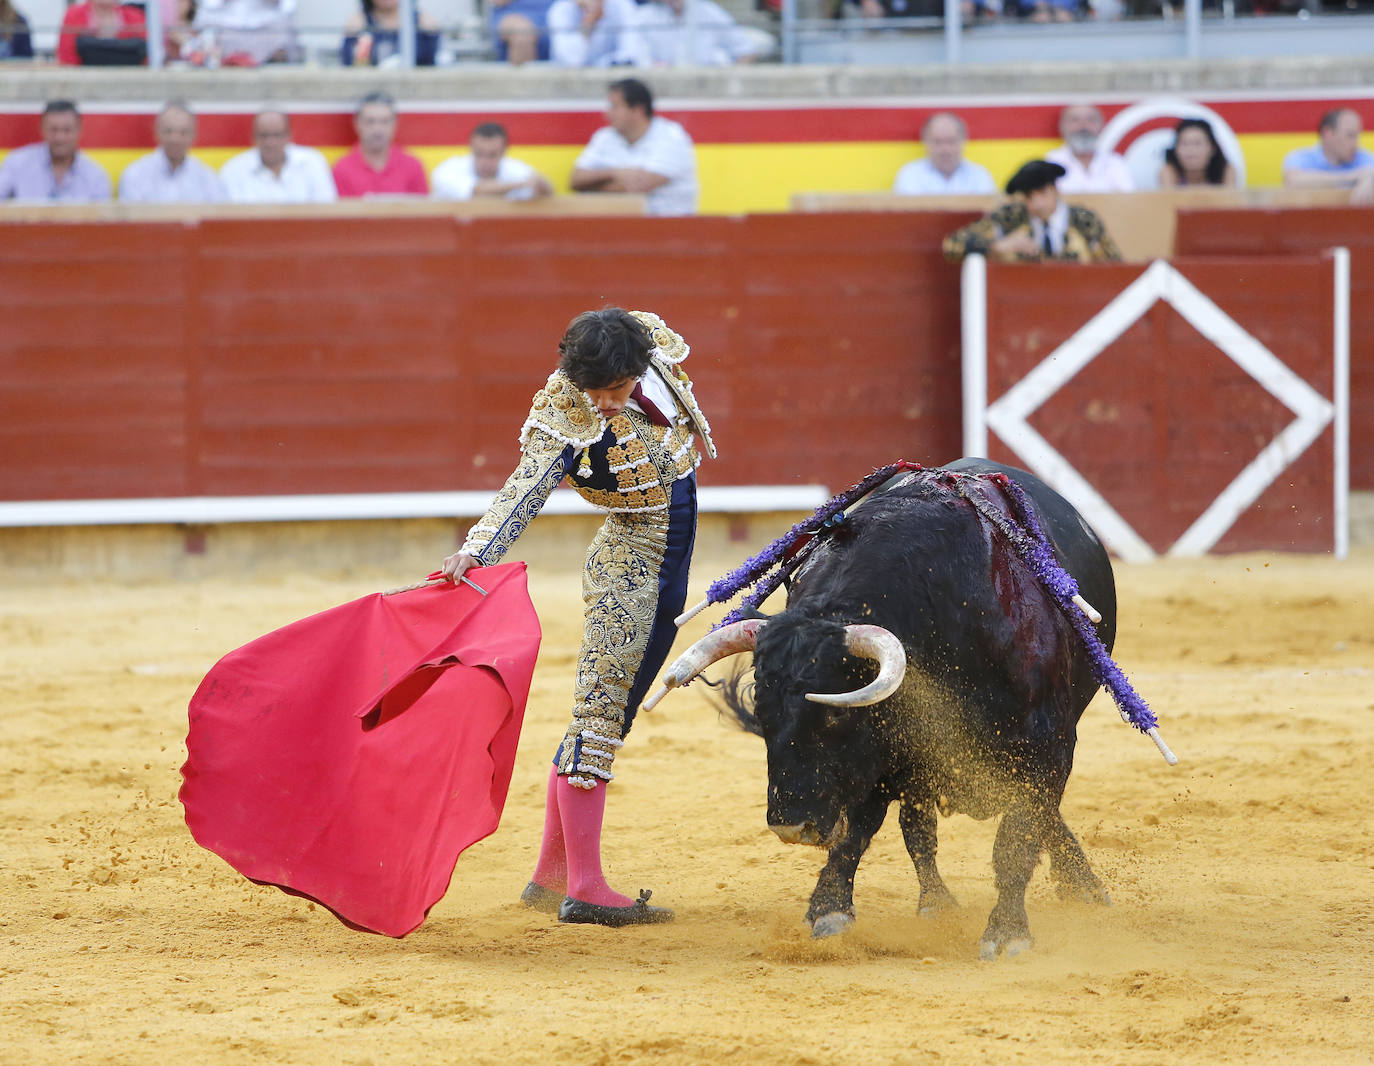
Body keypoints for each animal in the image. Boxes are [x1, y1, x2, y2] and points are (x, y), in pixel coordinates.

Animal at [654, 458, 1115, 956]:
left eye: (836, 713)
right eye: (762, 713)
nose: (791, 827)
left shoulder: (1046, 745)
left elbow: (1017, 837)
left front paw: (1007, 932)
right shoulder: (891, 751)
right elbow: (866, 829)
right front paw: (830, 908)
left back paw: (1083, 888)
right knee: (918, 828)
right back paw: (938, 902)